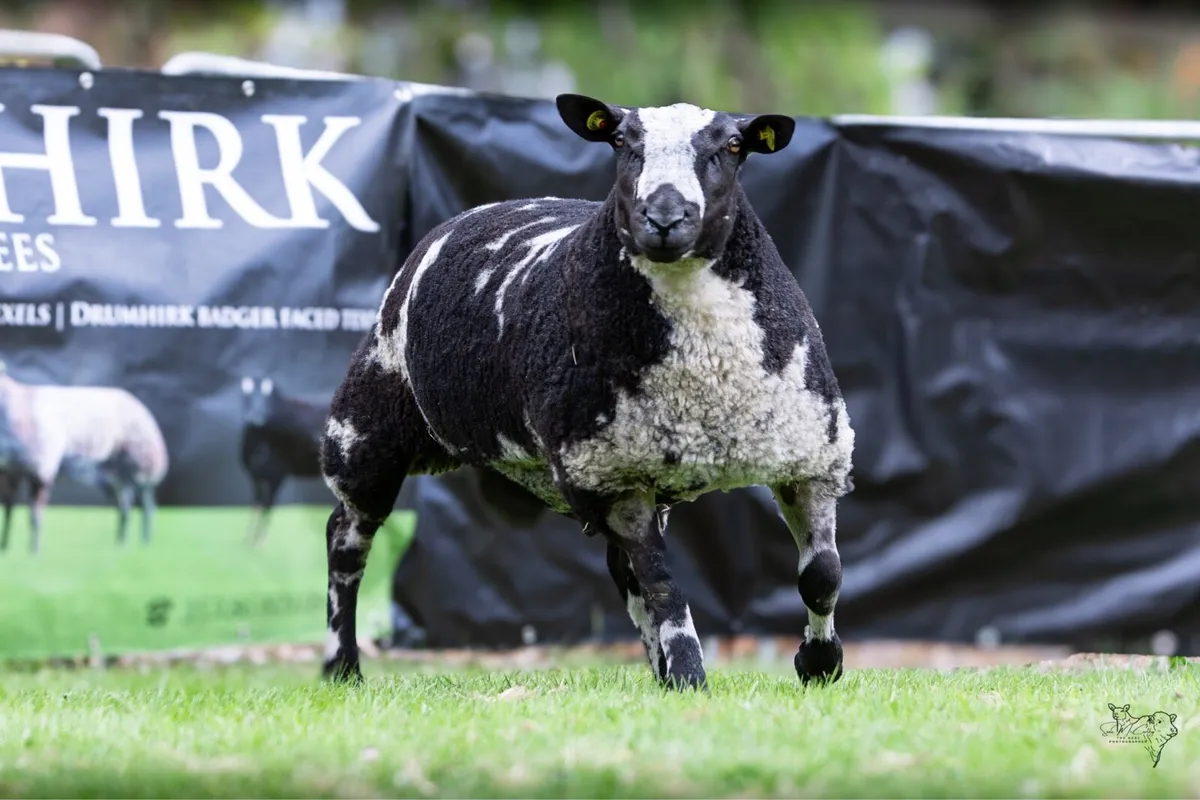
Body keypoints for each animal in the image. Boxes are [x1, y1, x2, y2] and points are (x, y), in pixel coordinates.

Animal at [0, 360, 169, 553]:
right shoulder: (8, 472)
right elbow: (8, 511)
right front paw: (5, 548)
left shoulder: (41, 469)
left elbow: (34, 515)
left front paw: (34, 552)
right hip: (113, 474)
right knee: (124, 505)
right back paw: (121, 544)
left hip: (141, 465)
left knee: (147, 505)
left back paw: (144, 543)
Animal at [239, 375, 330, 545]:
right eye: (247, 394)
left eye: (268, 395)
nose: (258, 414)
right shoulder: (256, 476)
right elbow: (256, 505)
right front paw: (248, 540)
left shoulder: (276, 474)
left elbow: (267, 505)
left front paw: (260, 542)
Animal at [318, 93, 855, 690]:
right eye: (621, 141)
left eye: (733, 147)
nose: (664, 219)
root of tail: (481, 209)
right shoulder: (611, 473)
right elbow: (665, 585)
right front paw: (691, 676)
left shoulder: (809, 456)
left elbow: (821, 576)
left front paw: (819, 664)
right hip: (368, 427)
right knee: (346, 538)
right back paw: (342, 667)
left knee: (623, 569)